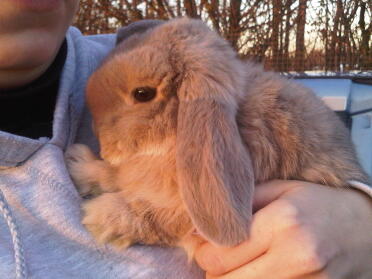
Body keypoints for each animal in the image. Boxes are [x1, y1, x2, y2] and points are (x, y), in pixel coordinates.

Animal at [64, 18, 370, 262]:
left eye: (143, 93)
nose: (101, 139)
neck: (171, 142)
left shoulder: (190, 211)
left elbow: (166, 218)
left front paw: (103, 217)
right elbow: (120, 175)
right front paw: (79, 164)